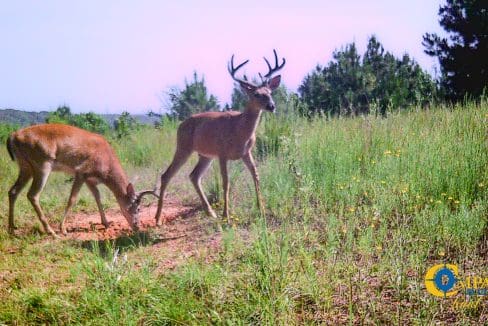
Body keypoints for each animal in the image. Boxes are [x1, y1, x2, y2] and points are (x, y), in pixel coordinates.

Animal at [6, 123, 158, 236]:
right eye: (138, 207)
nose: (137, 226)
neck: (107, 159)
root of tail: (13, 136)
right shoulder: (81, 172)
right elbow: (72, 199)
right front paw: (63, 228)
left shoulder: (90, 180)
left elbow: (98, 197)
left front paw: (106, 223)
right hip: (42, 165)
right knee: (32, 195)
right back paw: (51, 231)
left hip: (25, 167)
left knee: (13, 191)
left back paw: (12, 228)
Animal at [155, 49, 286, 225]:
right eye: (257, 94)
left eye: (270, 93)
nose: (271, 106)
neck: (239, 129)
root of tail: (181, 125)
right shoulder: (222, 153)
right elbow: (226, 182)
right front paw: (226, 216)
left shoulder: (246, 152)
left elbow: (256, 175)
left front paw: (262, 210)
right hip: (183, 147)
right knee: (166, 175)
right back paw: (157, 218)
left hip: (205, 155)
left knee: (194, 176)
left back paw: (210, 212)